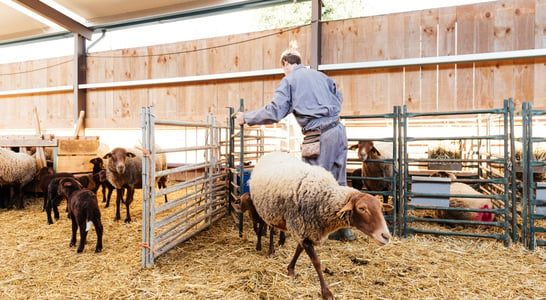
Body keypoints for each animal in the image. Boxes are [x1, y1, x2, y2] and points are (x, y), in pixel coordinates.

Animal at [246, 152, 392, 300]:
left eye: (380, 208)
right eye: (362, 208)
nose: (386, 236)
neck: (324, 198)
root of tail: (272, 153)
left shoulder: (306, 229)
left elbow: (299, 249)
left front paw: (291, 269)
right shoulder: (300, 226)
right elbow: (316, 261)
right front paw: (326, 292)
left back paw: (280, 241)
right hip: (265, 209)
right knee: (266, 227)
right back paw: (266, 248)